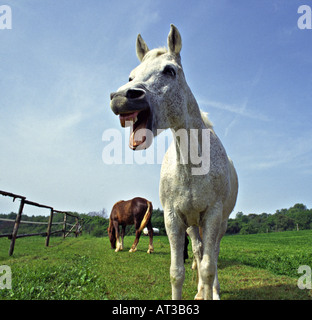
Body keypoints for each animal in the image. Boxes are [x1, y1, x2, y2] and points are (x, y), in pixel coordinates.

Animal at [110, 25, 239, 300]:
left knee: (212, 255)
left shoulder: (212, 216)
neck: (191, 167)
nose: (121, 98)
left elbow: (209, 268)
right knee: (199, 251)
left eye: (169, 70)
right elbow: (177, 272)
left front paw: (211, 292)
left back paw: (213, 292)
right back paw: (200, 293)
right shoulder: (174, 218)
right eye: (131, 76)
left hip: (219, 223)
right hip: (192, 225)